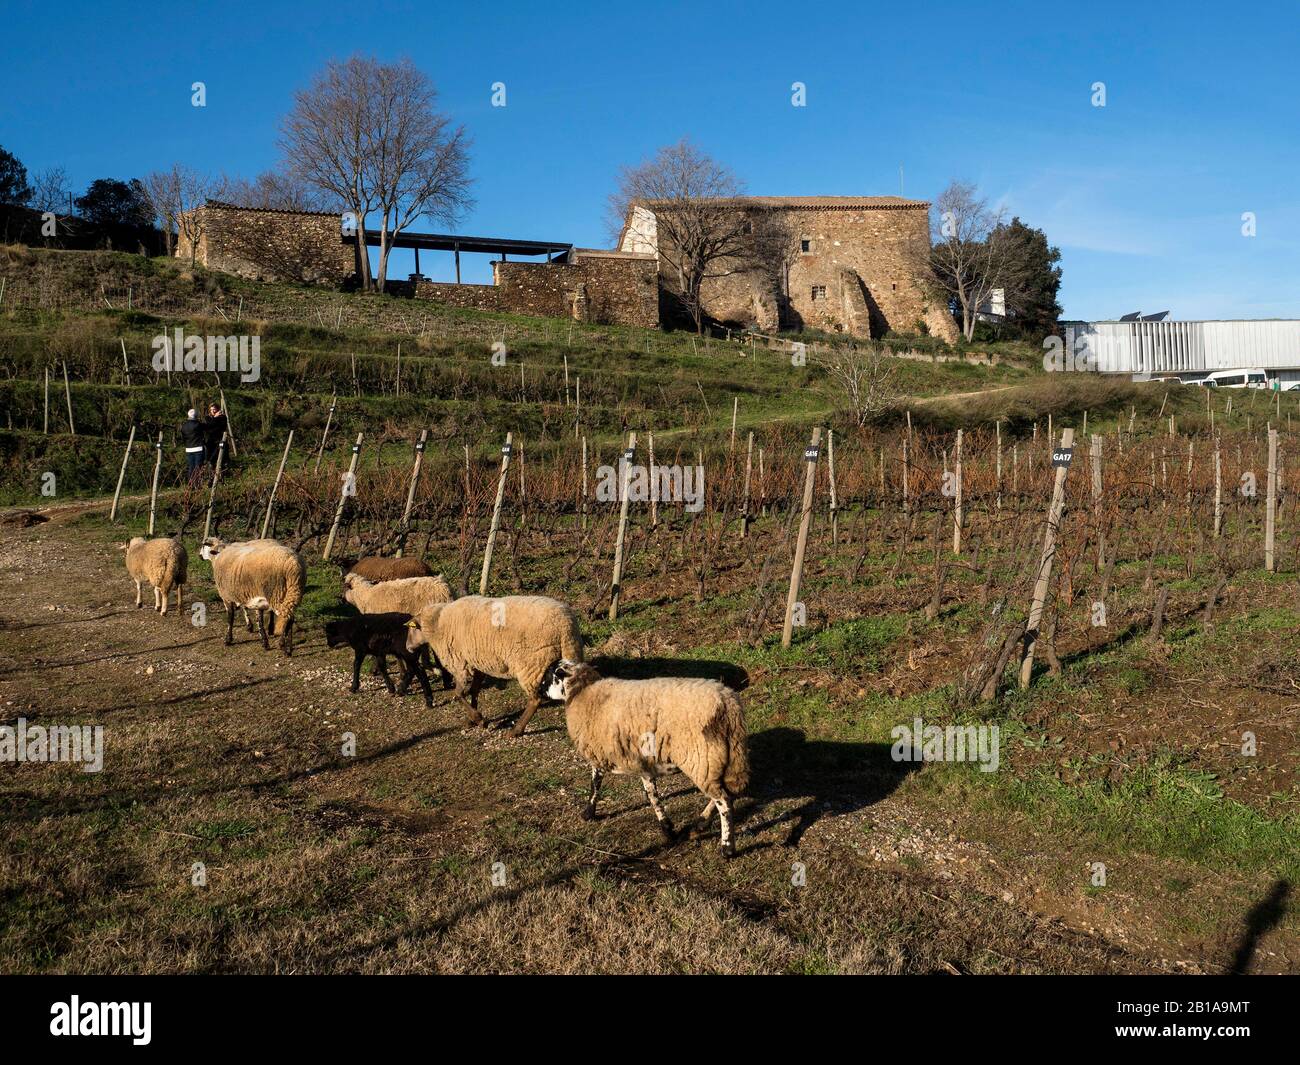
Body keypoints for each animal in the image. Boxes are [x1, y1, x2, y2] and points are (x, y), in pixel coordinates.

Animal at [405, 595, 585, 738]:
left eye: (412, 630)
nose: (407, 647)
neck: (438, 623)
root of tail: (565, 625)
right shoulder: (477, 663)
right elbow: (474, 691)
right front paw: (471, 719)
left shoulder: (460, 663)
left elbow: (458, 694)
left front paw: (479, 720)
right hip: (569, 653)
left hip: (532, 664)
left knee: (535, 699)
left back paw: (516, 731)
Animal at [546, 657, 754, 858]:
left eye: (550, 675)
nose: (541, 690)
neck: (582, 693)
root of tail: (728, 702)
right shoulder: (642, 761)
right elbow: (652, 794)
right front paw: (667, 828)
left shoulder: (598, 754)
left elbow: (595, 785)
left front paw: (588, 813)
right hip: (725, 758)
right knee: (728, 793)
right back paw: (700, 824)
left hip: (703, 758)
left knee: (724, 803)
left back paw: (727, 848)